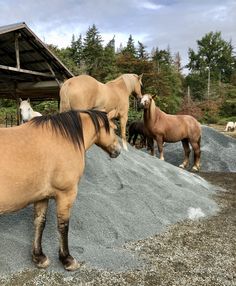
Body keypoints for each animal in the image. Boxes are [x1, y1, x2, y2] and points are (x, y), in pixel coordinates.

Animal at [0, 108, 121, 270]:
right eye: (114, 129)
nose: (118, 151)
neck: (62, 138)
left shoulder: (42, 196)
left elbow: (39, 222)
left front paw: (39, 257)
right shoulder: (66, 195)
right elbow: (63, 226)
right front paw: (67, 259)